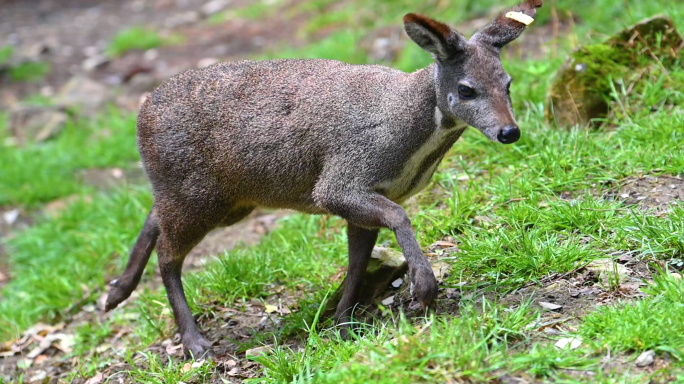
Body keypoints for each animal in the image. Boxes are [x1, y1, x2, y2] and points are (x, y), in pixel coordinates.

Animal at [107, 0, 544, 356]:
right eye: (467, 89)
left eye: (508, 83)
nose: (509, 131)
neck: (404, 131)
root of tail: (142, 113)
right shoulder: (341, 180)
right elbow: (397, 218)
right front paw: (423, 288)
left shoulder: (366, 199)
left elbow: (357, 262)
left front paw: (341, 324)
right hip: (199, 195)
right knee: (168, 254)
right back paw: (194, 342)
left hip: (228, 200)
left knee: (154, 216)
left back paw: (116, 291)